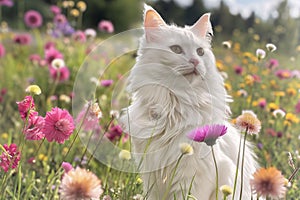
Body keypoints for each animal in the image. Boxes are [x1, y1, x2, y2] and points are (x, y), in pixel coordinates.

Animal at [119, 5, 258, 200]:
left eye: (200, 52)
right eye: (176, 49)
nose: (195, 61)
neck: (175, 104)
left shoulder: (195, 174)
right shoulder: (151, 173)